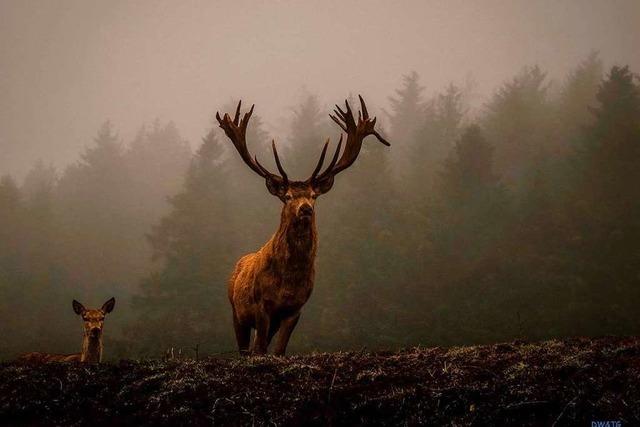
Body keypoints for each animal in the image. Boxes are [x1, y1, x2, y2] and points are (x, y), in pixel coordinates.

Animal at [218, 95, 388, 356]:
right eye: (287, 196)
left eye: (313, 195)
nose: (305, 208)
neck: (288, 281)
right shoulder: (261, 305)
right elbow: (260, 349)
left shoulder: (295, 309)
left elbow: (278, 350)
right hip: (236, 311)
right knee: (245, 348)